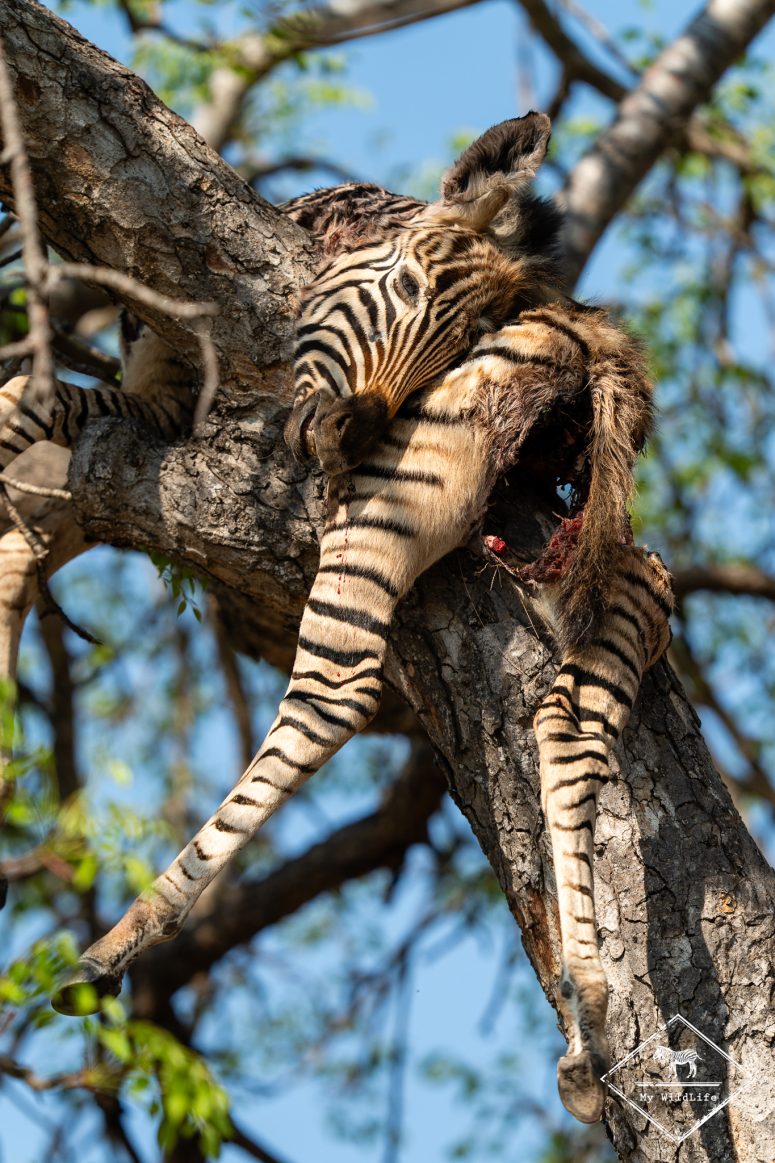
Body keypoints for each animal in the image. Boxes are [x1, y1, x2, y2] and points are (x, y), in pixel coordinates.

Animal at [0, 115, 674, 1126]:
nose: (347, 435)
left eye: (454, 345)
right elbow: (32, 483)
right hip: (593, 554)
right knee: (573, 709)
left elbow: (21, 417)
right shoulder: (152, 412)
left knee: (336, 691)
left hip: (383, 514)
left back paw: (115, 946)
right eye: (403, 291)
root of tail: (595, 347)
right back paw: (588, 1025)